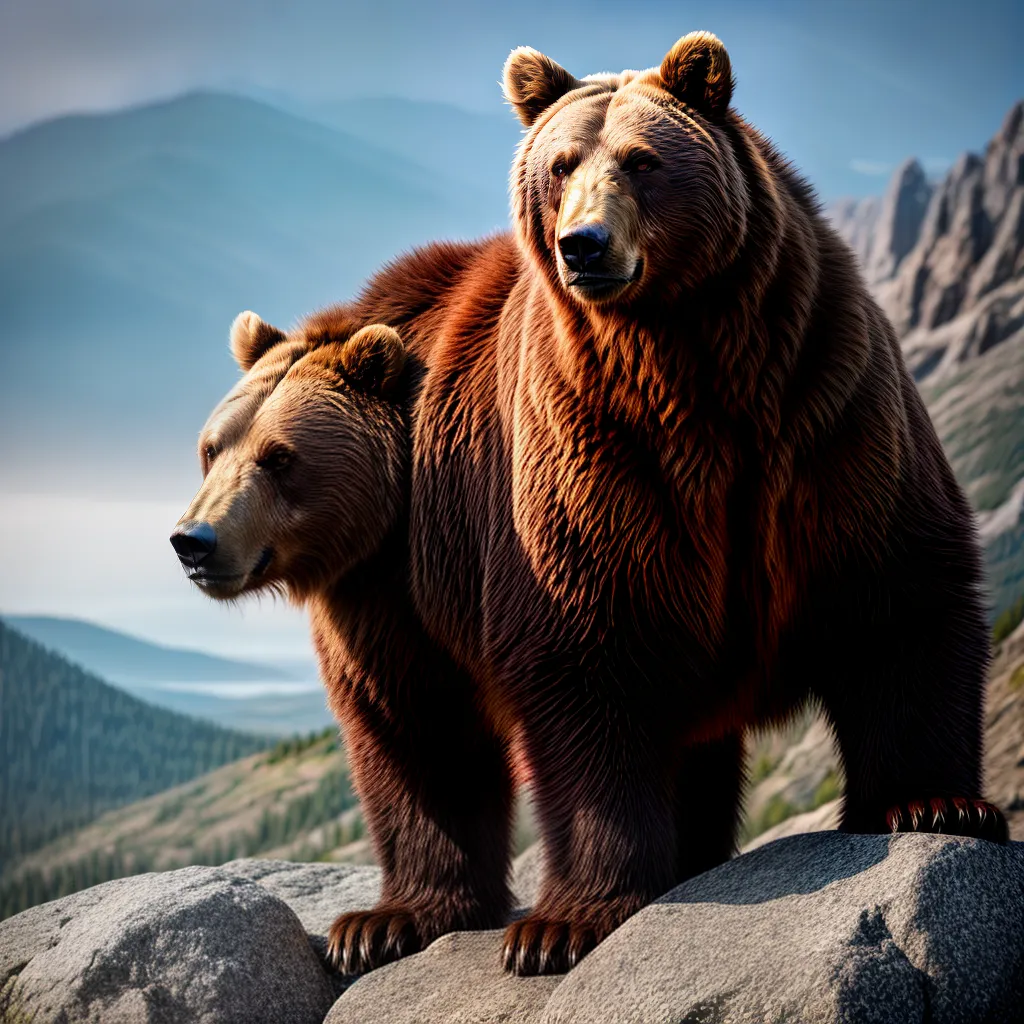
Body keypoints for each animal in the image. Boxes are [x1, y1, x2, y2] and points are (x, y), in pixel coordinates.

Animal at [171, 314, 515, 973]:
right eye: (211, 449)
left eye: (279, 456)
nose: (194, 540)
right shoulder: (380, 616)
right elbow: (415, 731)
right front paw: (379, 926)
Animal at [295, 30, 1007, 976]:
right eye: (561, 164)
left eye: (642, 160)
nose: (583, 246)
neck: (687, 361)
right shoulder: (590, 455)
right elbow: (586, 653)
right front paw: (563, 926)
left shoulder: (826, 410)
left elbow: (897, 594)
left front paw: (936, 804)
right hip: (393, 552)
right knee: (413, 717)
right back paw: (390, 920)